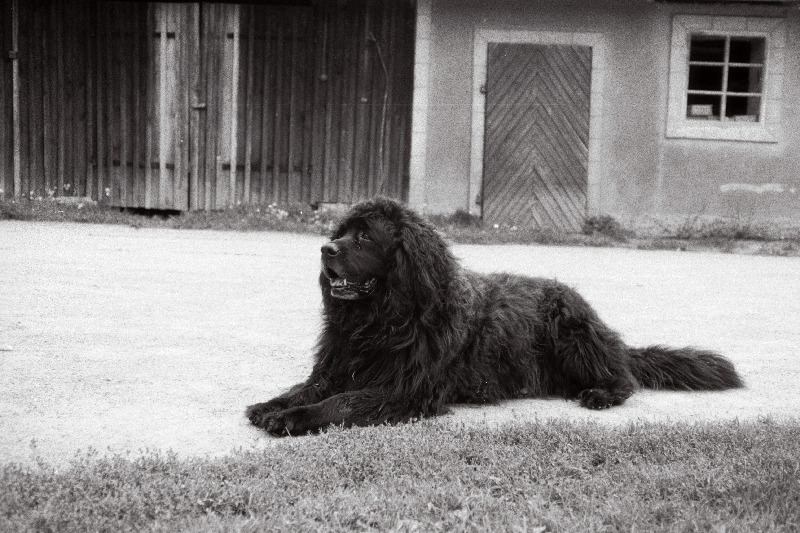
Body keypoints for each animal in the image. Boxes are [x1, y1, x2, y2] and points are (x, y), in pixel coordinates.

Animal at [247, 197, 740, 434]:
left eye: (365, 237)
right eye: (341, 231)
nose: (326, 249)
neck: (386, 319)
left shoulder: (405, 390)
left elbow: (340, 402)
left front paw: (292, 419)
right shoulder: (339, 365)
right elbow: (308, 387)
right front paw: (273, 405)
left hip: (573, 333)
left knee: (624, 378)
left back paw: (601, 393)